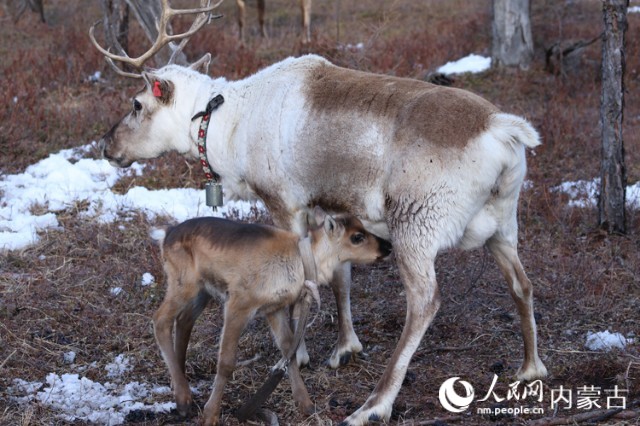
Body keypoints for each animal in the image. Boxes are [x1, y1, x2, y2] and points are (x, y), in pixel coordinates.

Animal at [152, 211, 390, 426]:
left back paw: (179, 382)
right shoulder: (238, 304)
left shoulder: (274, 308)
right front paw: (210, 414)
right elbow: (226, 362)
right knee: (160, 319)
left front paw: (306, 404)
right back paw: (183, 399)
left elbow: (288, 349)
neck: (302, 263)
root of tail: (167, 234)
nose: (387, 246)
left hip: (203, 291)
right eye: (357, 237)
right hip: (184, 283)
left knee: (184, 320)